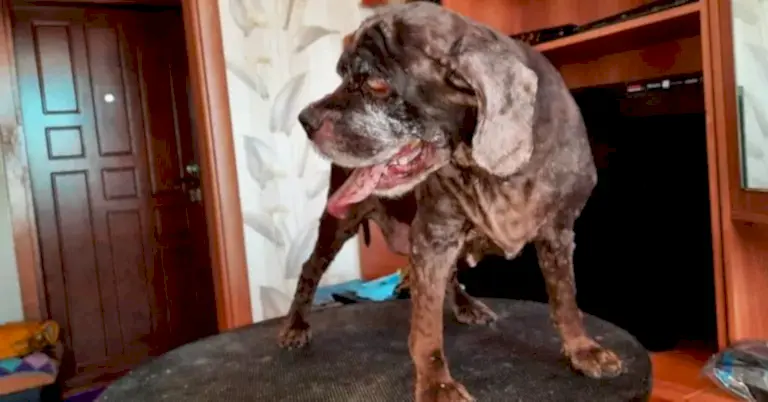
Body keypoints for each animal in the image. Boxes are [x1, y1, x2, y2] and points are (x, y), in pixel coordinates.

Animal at [292, 2, 623, 401]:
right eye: (341, 75)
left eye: (375, 83)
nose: (304, 120)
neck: (495, 173)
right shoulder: (433, 236)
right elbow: (426, 327)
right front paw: (436, 384)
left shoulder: (558, 235)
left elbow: (566, 300)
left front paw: (582, 349)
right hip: (341, 222)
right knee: (310, 269)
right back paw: (295, 326)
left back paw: (466, 304)